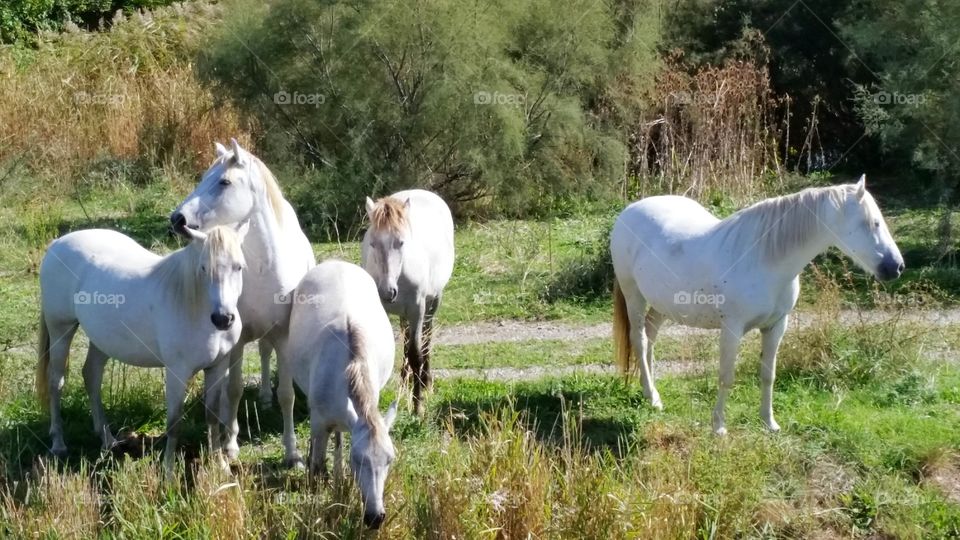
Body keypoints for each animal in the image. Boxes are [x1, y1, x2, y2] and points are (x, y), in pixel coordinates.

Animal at [37, 221, 248, 470]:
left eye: (239, 267)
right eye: (204, 268)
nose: (223, 319)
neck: (192, 305)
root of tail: (57, 244)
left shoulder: (217, 367)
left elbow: (212, 416)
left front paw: (220, 465)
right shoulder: (177, 371)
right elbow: (174, 423)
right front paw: (168, 471)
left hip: (102, 340)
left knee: (91, 376)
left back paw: (108, 440)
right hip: (61, 330)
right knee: (56, 382)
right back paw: (58, 444)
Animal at [168, 139, 312, 464]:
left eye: (224, 182)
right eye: (202, 177)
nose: (177, 219)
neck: (263, 267)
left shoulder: (282, 334)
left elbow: (287, 394)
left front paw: (292, 452)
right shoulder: (237, 338)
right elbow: (233, 390)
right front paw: (230, 445)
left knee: (266, 353)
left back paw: (266, 398)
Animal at [282, 260, 398, 528]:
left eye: (389, 460)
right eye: (358, 459)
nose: (375, 518)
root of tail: (336, 262)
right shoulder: (318, 423)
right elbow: (316, 466)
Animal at [612, 176, 904, 434]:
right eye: (873, 223)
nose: (896, 267)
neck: (765, 258)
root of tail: (629, 211)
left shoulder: (776, 327)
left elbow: (768, 375)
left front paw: (769, 422)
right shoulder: (732, 330)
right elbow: (726, 376)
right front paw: (719, 427)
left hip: (662, 304)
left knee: (651, 335)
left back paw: (651, 392)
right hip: (634, 295)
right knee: (639, 339)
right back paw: (652, 397)